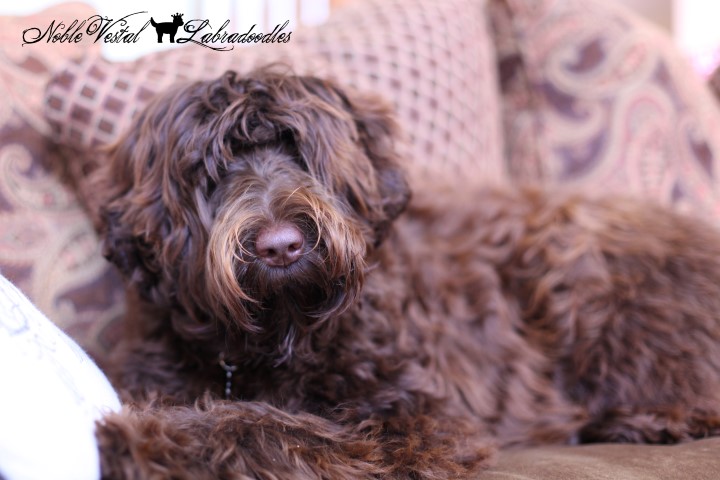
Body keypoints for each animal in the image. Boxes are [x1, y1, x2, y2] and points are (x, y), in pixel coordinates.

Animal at [92, 66, 720, 479]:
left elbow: (265, 426)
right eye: (210, 171)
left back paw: (650, 420)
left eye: (301, 151)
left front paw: (137, 439)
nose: (281, 245)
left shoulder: (418, 423)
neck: (273, 341)